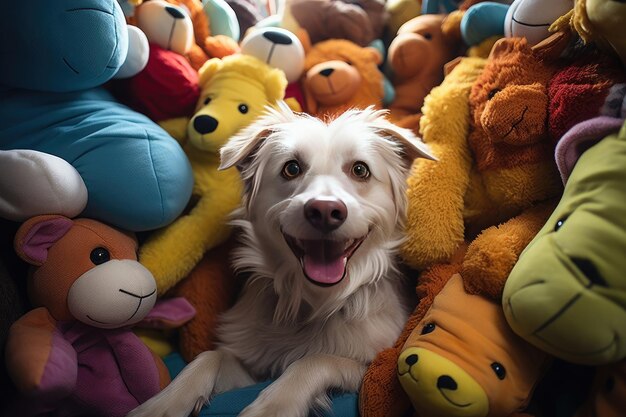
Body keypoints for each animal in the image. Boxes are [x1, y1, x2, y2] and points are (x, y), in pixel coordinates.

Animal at [129, 104, 432, 416]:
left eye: (360, 170)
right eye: (291, 168)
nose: (325, 211)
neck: (312, 303)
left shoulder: (367, 368)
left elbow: (315, 360)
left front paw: (273, 405)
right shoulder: (249, 366)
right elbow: (210, 357)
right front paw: (164, 403)